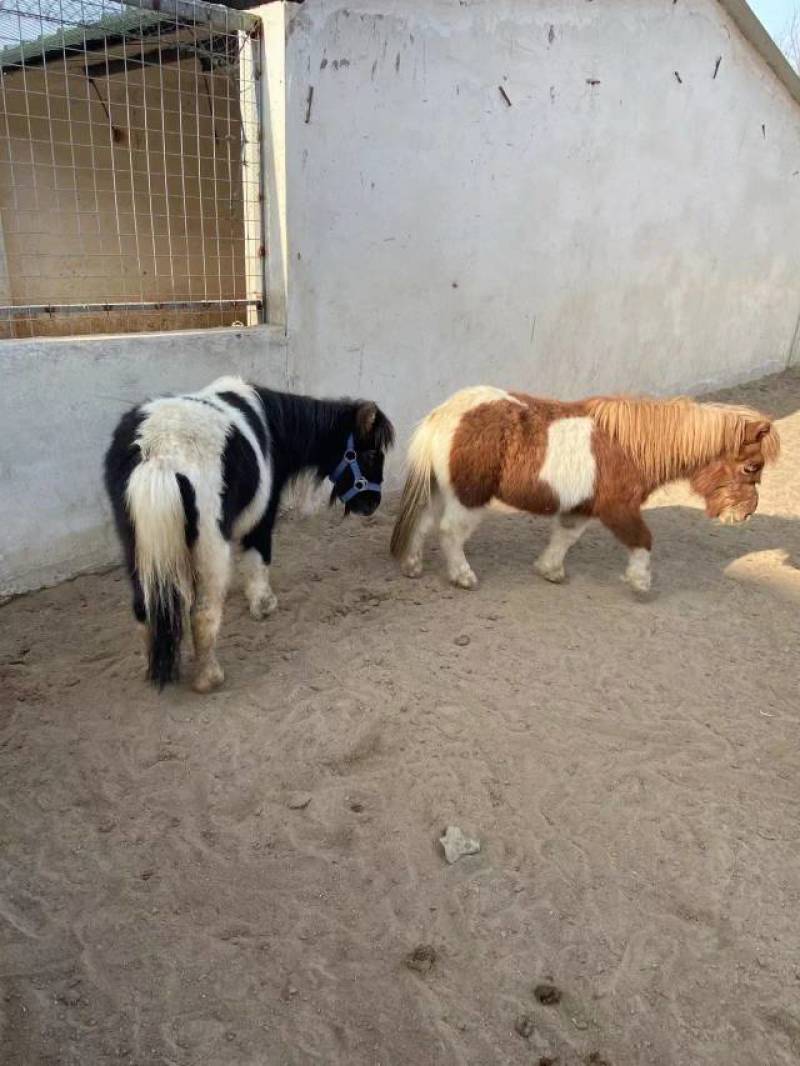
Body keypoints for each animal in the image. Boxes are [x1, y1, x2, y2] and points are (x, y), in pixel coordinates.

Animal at [105, 376, 394, 692]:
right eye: (371, 454)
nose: (372, 504)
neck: (274, 425)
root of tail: (157, 453)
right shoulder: (262, 518)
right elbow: (259, 560)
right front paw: (263, 604)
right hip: (209, 545)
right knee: (204, 614)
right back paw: (209, 678)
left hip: (137, 547)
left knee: (144, 608)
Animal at [390, 386, 779, 593]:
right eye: (752, 467)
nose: (745, 514)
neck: (630, 447)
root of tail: (445, 412)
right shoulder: (618, 508)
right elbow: (643, 540)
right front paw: (640, 582)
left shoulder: (580, 508)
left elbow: (565, 538)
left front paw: (550, 570)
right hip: (469, 496)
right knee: (449, 532)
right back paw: (462, 576)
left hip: (440, 489)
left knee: (423, 524)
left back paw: (411, 565)